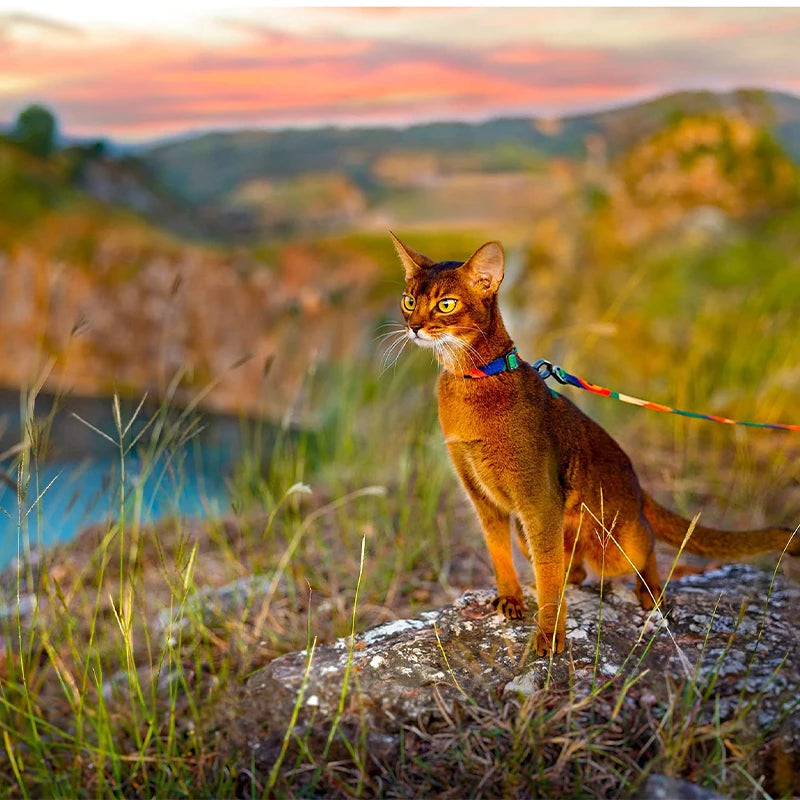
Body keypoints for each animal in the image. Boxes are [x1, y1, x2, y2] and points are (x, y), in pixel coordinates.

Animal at [390, 231, 796, 656]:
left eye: (446, 304)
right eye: (409, 300)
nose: (415, 326)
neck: (473, 379)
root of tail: (639, 489)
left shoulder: (539, 500)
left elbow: (548, 573)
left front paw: (549, 634)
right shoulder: (483, 497)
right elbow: (500, 553)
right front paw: (512, 598)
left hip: (615, 542)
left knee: (643, 546)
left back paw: (651, 591)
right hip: (529, 530)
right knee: (572, 569)